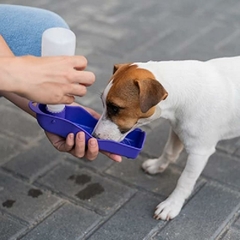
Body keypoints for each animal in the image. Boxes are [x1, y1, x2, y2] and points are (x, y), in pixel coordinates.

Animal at [92, 56, 240, 221]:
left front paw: (172, 204)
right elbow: (169, 152)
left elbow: (185, 179)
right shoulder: (176, 130)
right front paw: (157, 166)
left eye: (115, 108)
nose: (94, 136)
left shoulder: (199, 152)